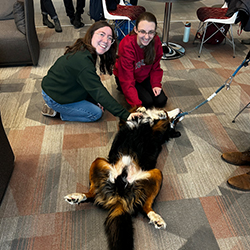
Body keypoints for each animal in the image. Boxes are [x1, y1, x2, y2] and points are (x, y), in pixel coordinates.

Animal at [64, 106, 182, 249]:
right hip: (98, 161)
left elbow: (162, 118)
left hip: (157, 173)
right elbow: (134, 111)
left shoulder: (158, 131)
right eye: (176, 121)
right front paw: (142, 109)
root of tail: (120, 195)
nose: (180, 110)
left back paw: (156, 218)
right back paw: (76, 197)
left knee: (145, 207)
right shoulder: (124, 122)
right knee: (92, 194)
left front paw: (160, 113)